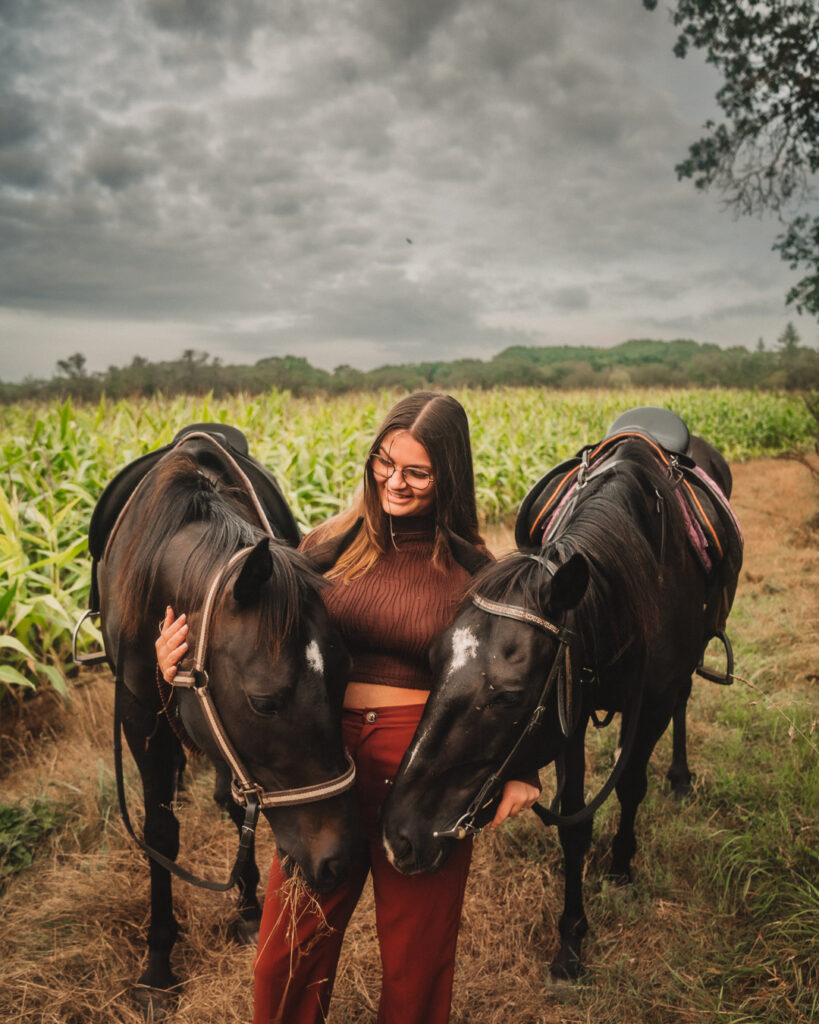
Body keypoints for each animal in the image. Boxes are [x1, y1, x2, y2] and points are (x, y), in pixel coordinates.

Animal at [94, 434, 356, 1015]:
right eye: (264, 702)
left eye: (347, 677)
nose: (337, 862)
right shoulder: (140, 716)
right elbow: (160, 834)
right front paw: (158, 967)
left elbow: (241, 808)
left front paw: (249, 909)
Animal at [384, 419, 741, 978]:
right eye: (433, 661)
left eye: (509, 696)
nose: (398, 838)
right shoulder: (567, 711)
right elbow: (574, 823)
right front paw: (571, 938)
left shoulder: (651, 705)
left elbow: (631, 786)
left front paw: (621, 865)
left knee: (684, 701)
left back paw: (680, 777)